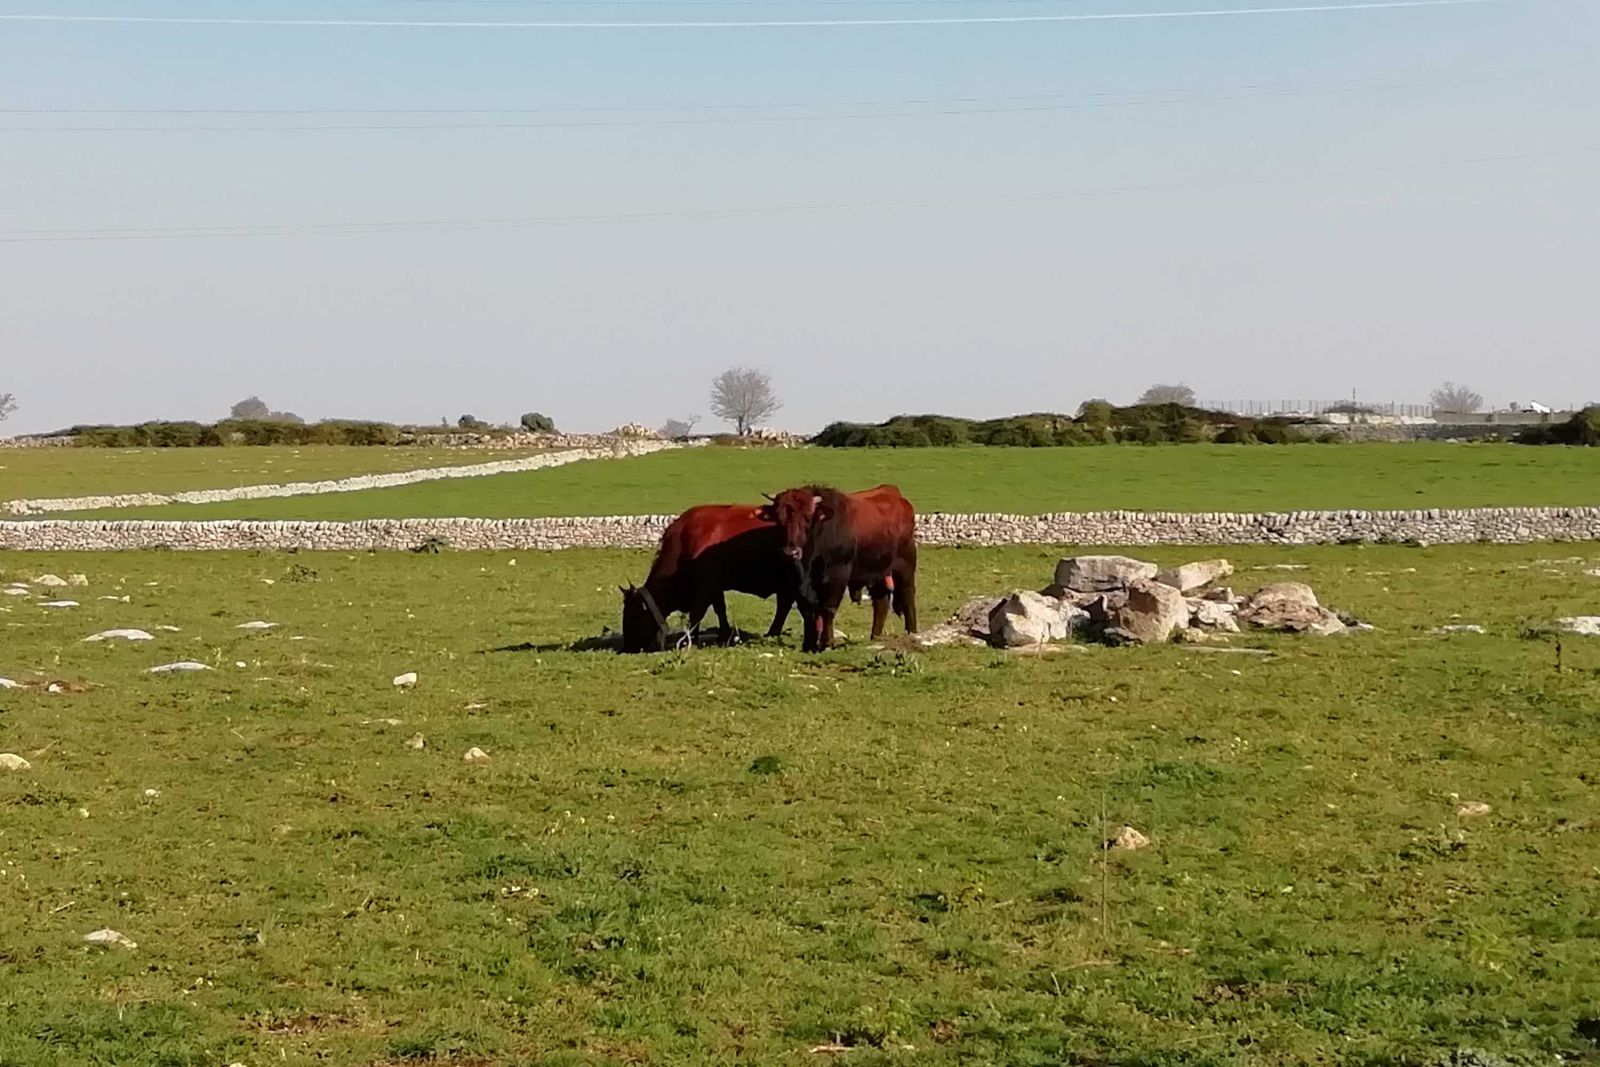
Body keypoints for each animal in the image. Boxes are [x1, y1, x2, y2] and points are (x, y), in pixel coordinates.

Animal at [624, 508, 800, 655]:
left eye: (632, 614)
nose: (627, 647)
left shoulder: (705, 586)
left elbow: (697, 613)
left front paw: (690, 640)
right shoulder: (715, 587)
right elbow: (720, 609)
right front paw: (724, 635)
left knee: (783, 606)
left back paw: (772, 633)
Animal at [768, 483, 921, 652]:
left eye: (807, 518)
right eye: (778, 518)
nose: (790, 552)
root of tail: (894, 494)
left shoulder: (837, 576)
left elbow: (828, 609)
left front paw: (827, 643)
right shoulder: (801, 583)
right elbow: (807, 610)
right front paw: (809, 644)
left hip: (905, 564)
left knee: (907, 594)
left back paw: (912, 632)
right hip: (877, 570)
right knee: (881, 600)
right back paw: (875, 636)